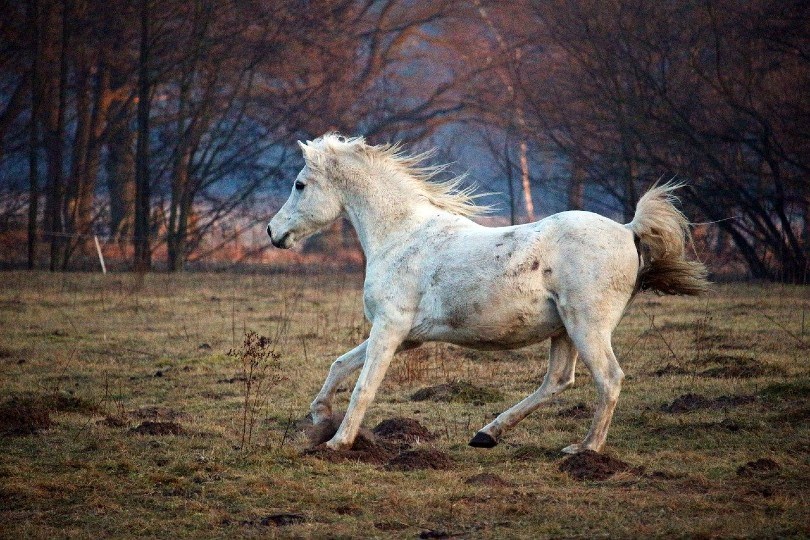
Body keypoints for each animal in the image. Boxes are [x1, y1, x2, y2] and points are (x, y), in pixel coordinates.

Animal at [267, 134, 708, 454]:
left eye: (299, 184)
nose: (273, 233)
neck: (402, 235)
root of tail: (629, 230)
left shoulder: (390, 329)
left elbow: (364, 386)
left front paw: (337, 442)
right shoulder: (406, 336)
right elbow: (340, 365)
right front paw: (320, 418)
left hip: (588, 327)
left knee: (609, 379)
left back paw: (584, 450)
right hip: (564, 330)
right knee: (558, 381)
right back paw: (488, 434)